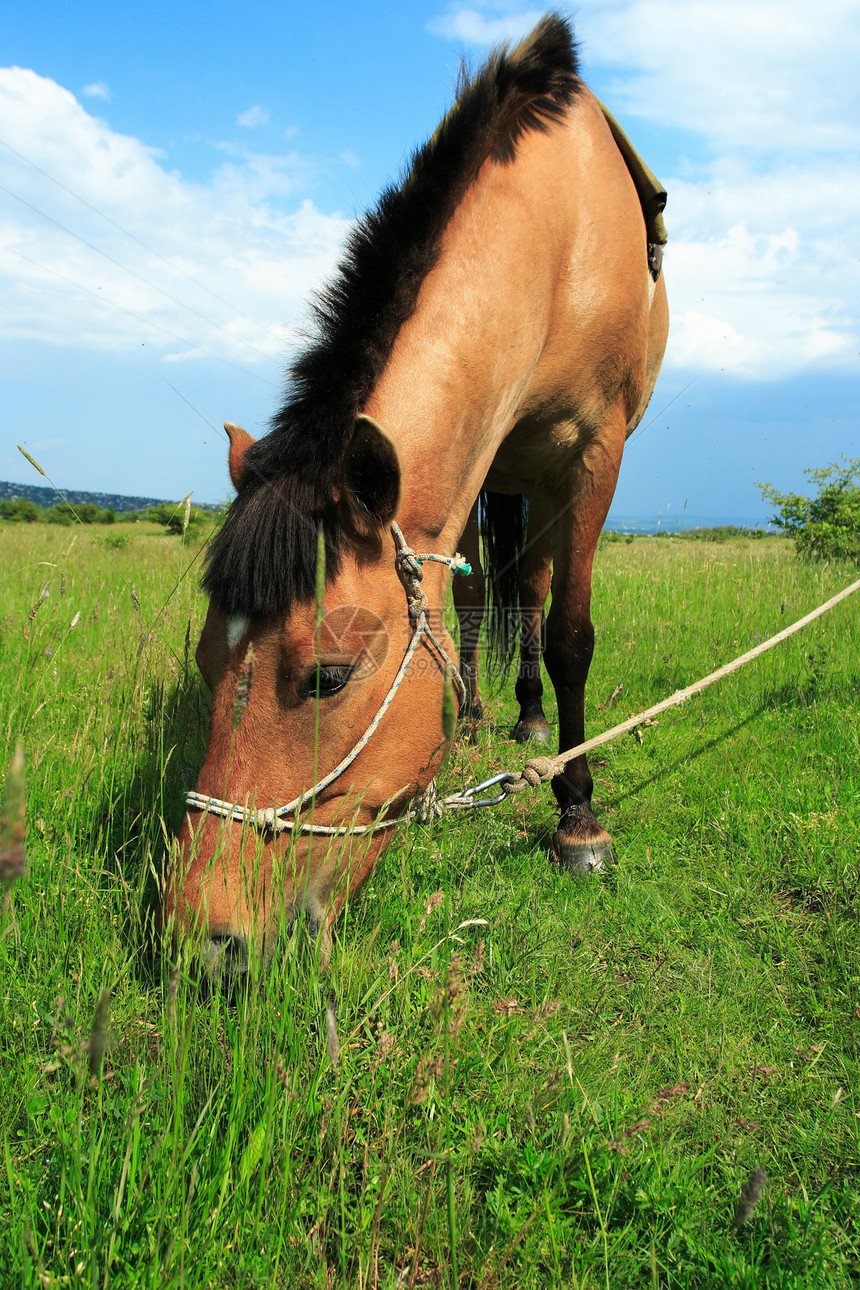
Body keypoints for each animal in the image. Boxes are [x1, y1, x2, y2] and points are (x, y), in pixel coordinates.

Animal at [163, 10, 670, 980]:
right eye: (207, 660)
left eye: (326, 677)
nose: (205, 945)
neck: (561, 235)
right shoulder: (473, 472)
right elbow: (465, 603)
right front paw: (468, 720)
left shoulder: (595, 458)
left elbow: (570, 634)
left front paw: (579, 815)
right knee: (491, 596)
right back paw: (482, 713)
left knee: (534, 597)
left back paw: (532, 725)